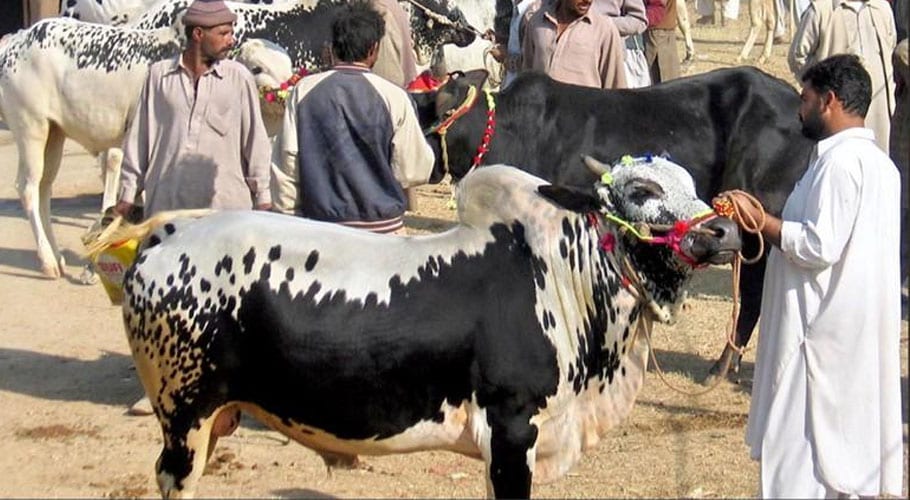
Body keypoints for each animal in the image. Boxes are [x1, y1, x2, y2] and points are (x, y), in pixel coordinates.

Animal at [113, 158, 741, 498]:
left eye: (690, 184)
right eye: (641, 193)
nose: (725, 233)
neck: (561, 274)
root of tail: (166, 234)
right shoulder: (512, 429)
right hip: (184, 418)